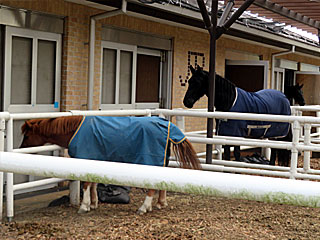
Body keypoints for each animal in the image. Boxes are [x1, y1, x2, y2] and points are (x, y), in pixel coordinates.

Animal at [20, 115, 200, 215]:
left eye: (27, 135)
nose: (21, 149)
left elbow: (86, 184)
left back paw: (144, 207)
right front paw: (93, 204)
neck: (75, 130)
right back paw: (160, 203)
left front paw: (84, 206)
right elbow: (92, 183)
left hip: (151, 161)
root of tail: (166, 125)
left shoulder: (86, 158)